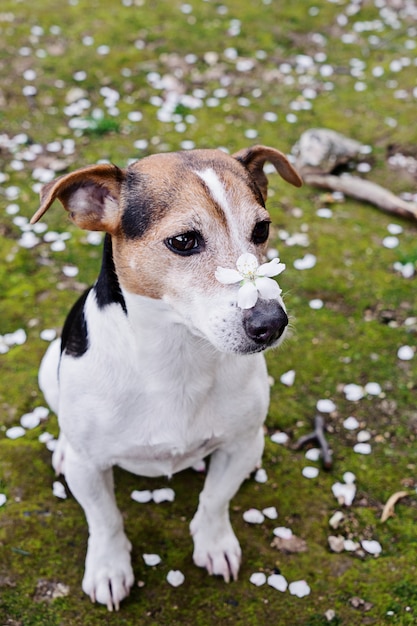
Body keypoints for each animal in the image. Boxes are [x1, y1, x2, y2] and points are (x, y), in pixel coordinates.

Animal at [30, 144, 300, 608]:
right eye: (183, 241)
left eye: (262, 229)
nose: (272, 323)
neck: (180, 356)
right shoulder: (90, 470)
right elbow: (105, 519)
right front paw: (109, 567)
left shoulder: (238, 445)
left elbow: (215, 499)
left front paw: (214, 542)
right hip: (51, 367)